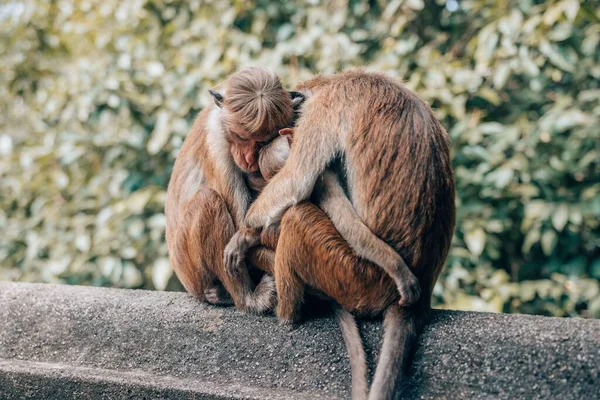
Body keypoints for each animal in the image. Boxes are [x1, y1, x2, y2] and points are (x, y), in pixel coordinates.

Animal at [164, 67, 296, 314]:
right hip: (191, 272)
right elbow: (240, 219)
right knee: (207, 200)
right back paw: (246, 298)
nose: (249, 158)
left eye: (262, 141)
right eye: (242, 136)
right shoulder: (216, 142)